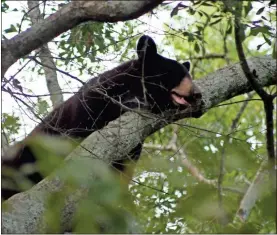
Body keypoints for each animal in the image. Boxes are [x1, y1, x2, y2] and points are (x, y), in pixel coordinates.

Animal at [1, 35, 201, 200]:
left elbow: (123, 163)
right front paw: (132, 103)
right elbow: (89, 120)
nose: (197, 93)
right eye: (175, 73)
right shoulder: (94, 99)